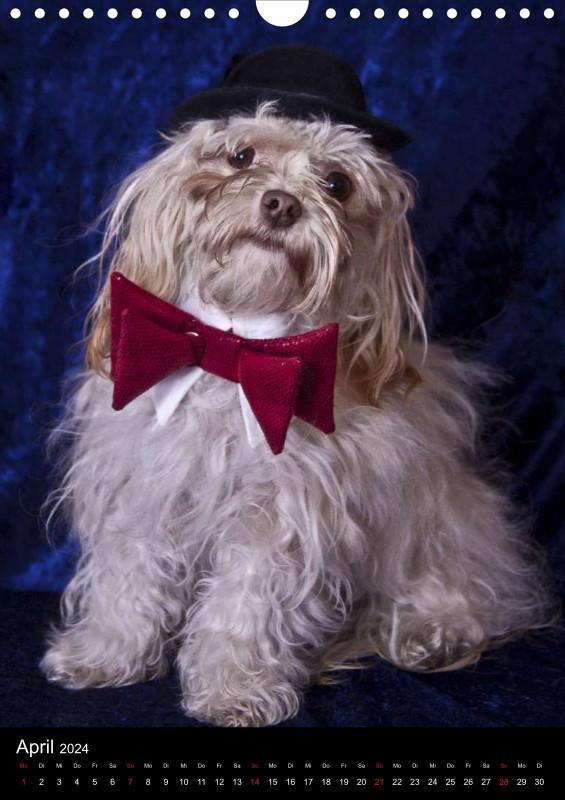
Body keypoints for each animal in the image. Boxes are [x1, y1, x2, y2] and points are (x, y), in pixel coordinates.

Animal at [41, 47, 554, 727]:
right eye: (240, 155)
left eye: (337, 183)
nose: (283, 204)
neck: (234, 349)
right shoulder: (144, 486)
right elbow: (128, 579)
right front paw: (106, 654)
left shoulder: (282, 515)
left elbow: (244, 607)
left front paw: (234, 687)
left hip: (440, 523)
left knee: (471, 587)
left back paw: (431, 629)